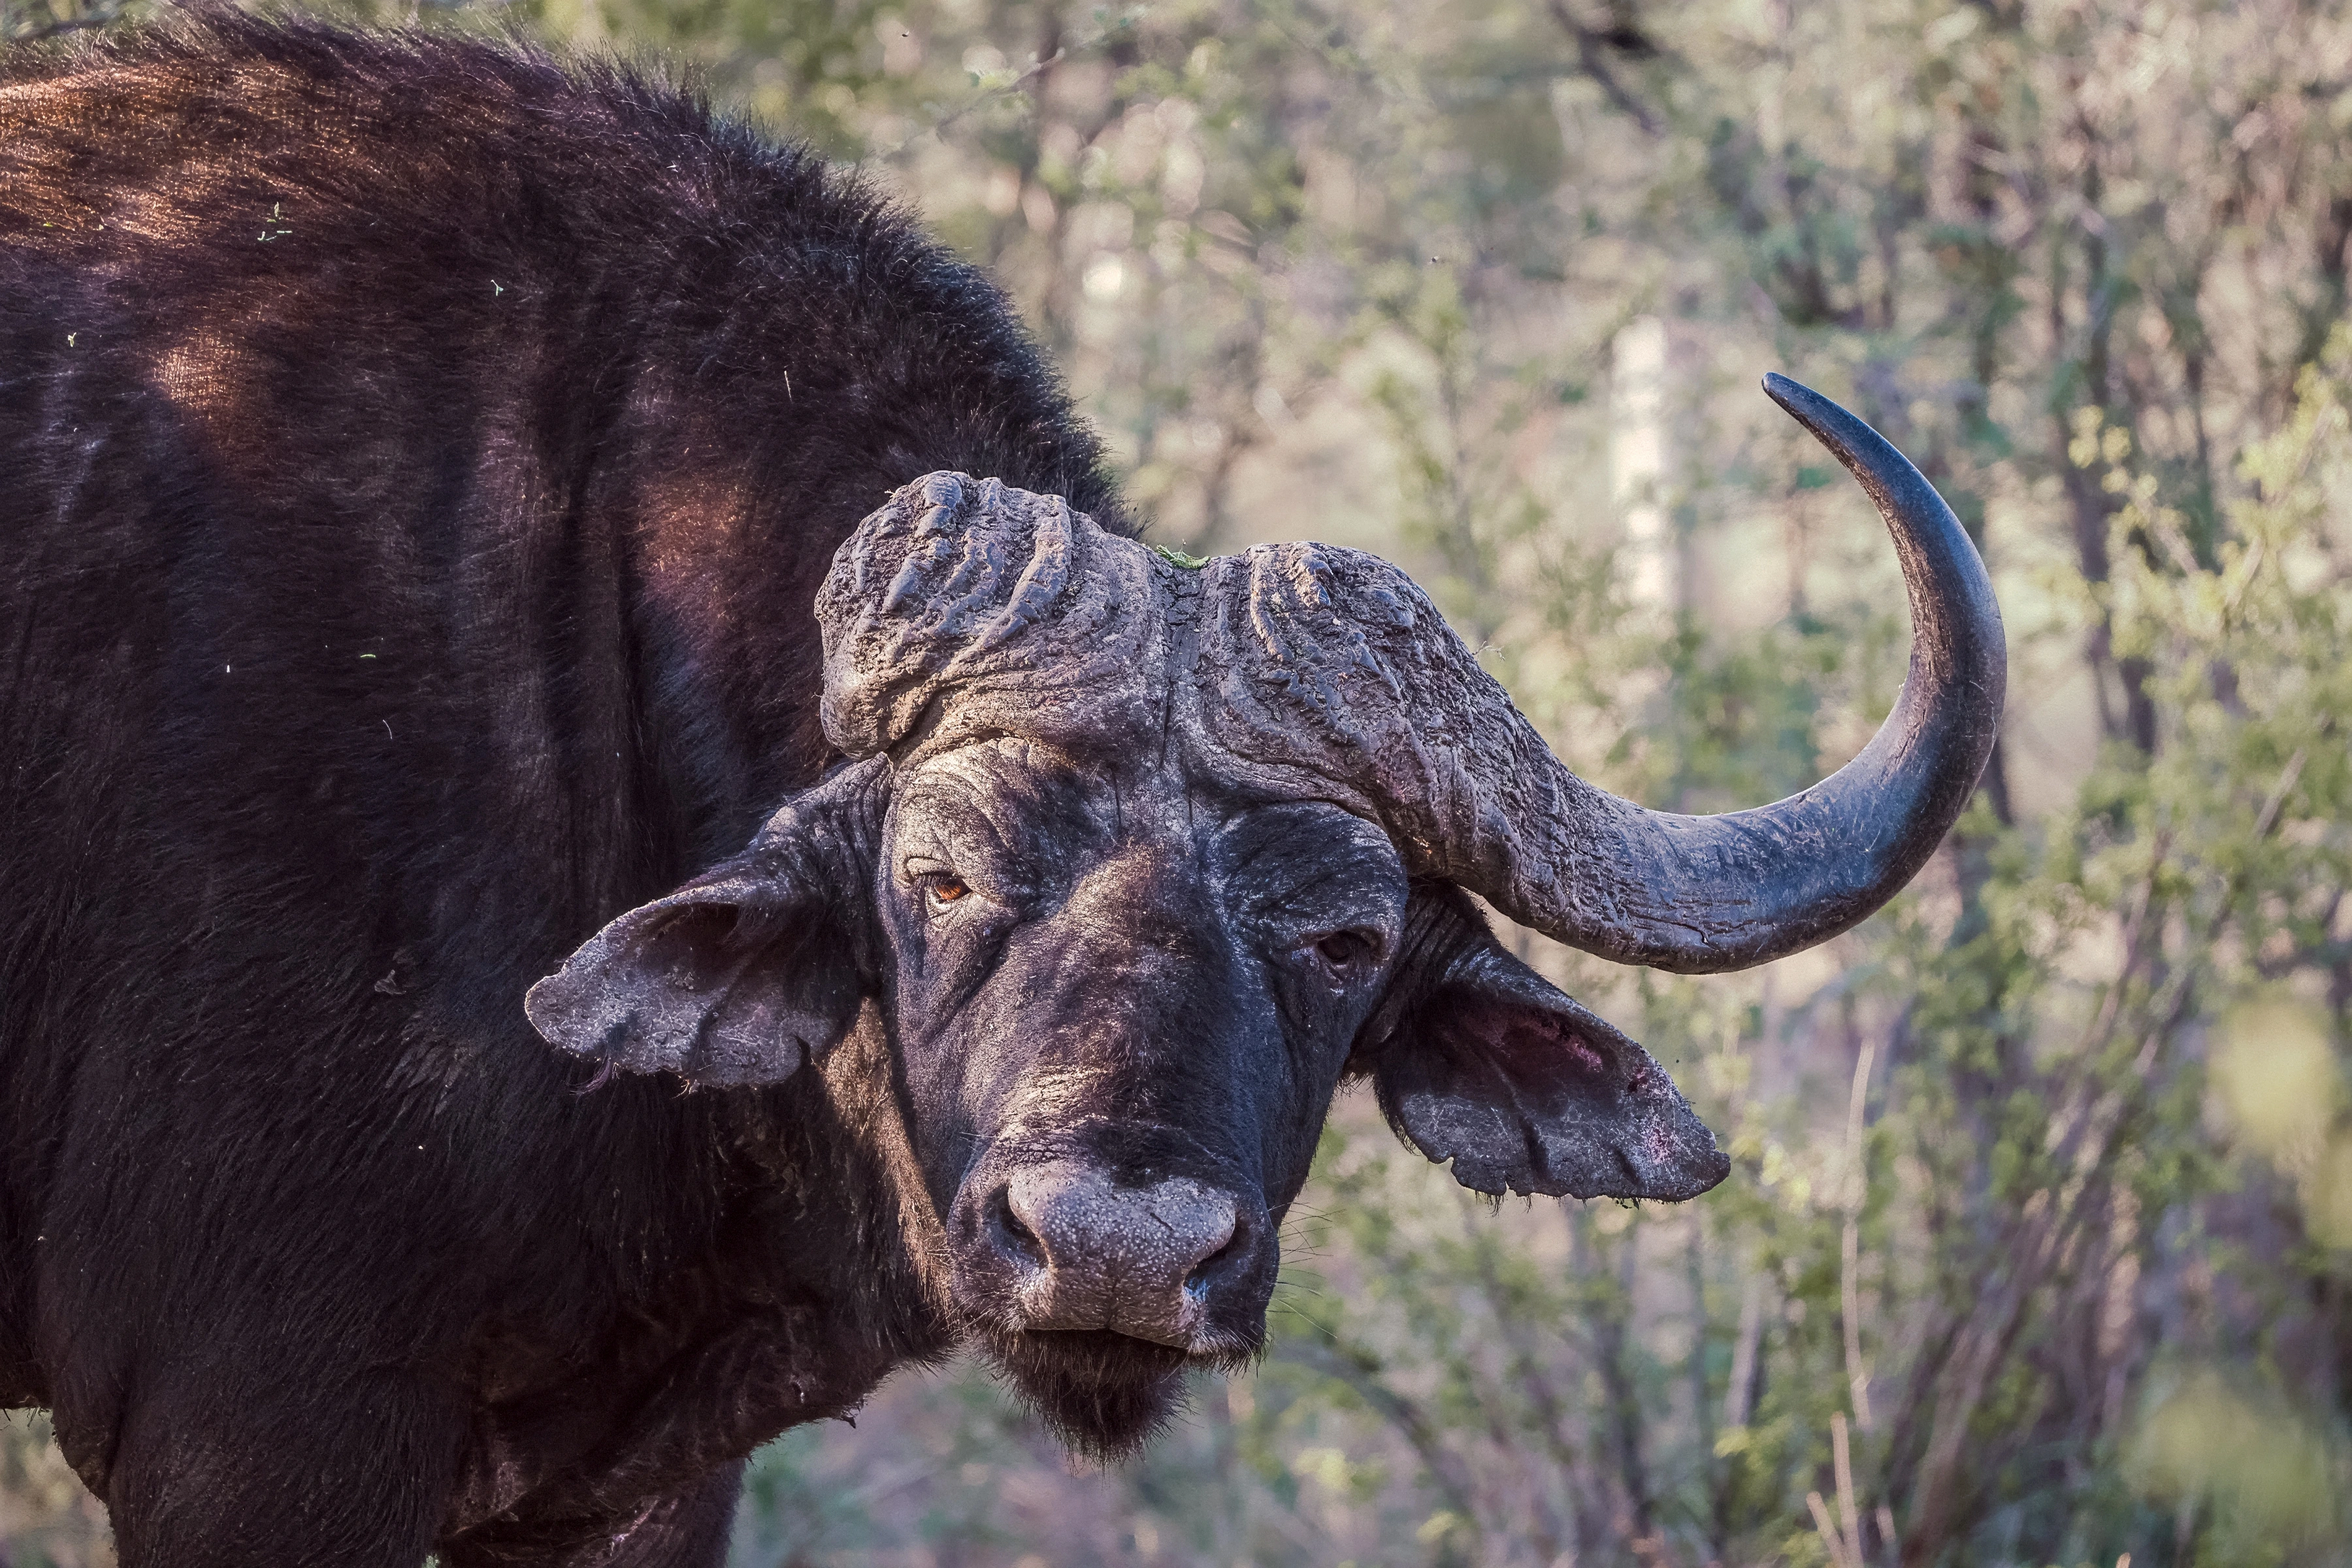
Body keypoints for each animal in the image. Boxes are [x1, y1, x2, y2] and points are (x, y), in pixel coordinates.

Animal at [0, 13, 2003, 1566]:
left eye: (1346, 938)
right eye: (943, 880)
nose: (1115, 1246)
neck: (584, 621)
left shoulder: (632, 1485)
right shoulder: (261, 1429)